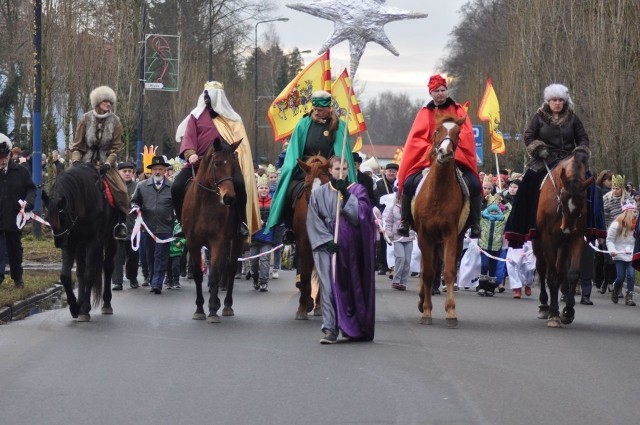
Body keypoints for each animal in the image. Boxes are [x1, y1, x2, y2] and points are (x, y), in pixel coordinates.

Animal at [44, 163, 117, 322]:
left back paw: (106, 304)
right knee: (80, 272)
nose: (58, 242)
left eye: (63, 217)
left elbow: (89, 274)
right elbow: (66, 275)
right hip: (80, 246)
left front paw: (83, 308)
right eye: (47, 218)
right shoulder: (71, 242)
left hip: (110, 239)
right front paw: (74, 306)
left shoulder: (93, 242)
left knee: (108, 267)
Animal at [181, 138, 244, 322]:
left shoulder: (218, 241)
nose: (229, 198)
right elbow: (198, 275)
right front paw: (200, 309)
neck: (205, 203)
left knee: (230, 269)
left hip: (236, 241)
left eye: (234, 164)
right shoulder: (193, 243)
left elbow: (215, 274)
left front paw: (213, 309)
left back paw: (227, 305)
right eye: (217, 163)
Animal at [412, 113, 468, 328]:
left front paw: (451, 311)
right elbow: (428, 273)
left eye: (458, 132)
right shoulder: (424, 235)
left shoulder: (450, 234)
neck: (438, 194)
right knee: (425, 269)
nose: (445, 152)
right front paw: (427, 311)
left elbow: (449, 271)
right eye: (437, 130)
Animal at [532, 150, 592, 328]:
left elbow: (573, 273)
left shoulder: (577, 238)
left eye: (582, 203)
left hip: (563, 245)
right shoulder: (548, 240)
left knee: (560, 272)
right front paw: (553, 314)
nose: (566, 229)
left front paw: (568, 311)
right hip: (538, 244)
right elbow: (551, 276)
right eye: (563, 199)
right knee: (542, 268)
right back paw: (544, 306)